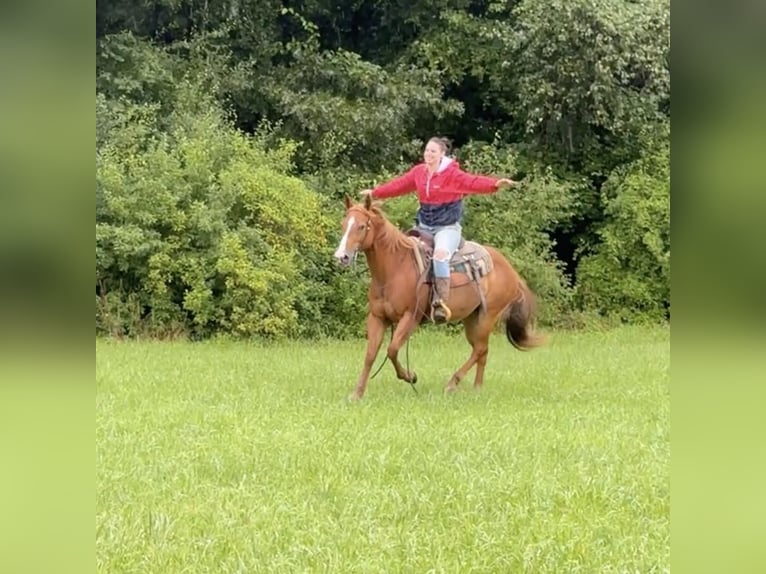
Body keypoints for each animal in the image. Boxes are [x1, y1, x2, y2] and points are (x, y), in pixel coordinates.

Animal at [336, 196, 544, 402]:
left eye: (362, 226)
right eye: (343, 224)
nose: (341, 256)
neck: (394, 270)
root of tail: (511, 271)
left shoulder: (410, 318)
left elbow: (392, 349)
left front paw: (410, 376)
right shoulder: (377, 318)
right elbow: (370, 355)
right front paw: (357, 393)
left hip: (488, 316)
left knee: (479, 349)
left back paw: (452, 383)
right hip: (472, 318)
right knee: (482, 350)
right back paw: (477, 388)